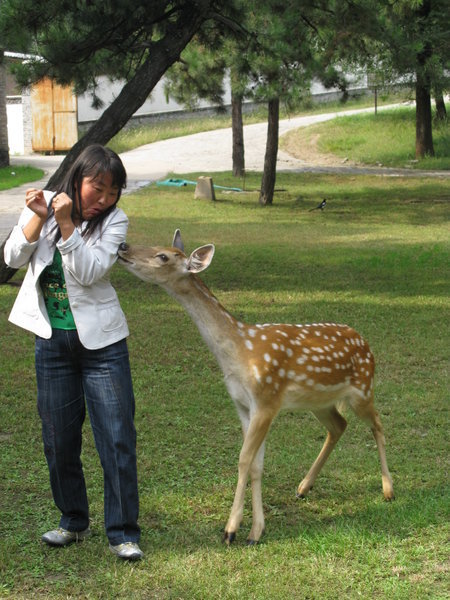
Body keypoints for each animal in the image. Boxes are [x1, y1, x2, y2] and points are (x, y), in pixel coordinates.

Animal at [118, 232, 394, 548]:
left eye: (163, 256)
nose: (123, 247)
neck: (238, 351)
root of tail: (366, 344)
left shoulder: (266, 399)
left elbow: (243, 460)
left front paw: (231, 530)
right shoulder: (243, 405)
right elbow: (256, 465)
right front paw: (255, 531)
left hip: (362, 389)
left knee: (377, 423)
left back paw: (388, 489)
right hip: (319, 401)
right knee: (339, 425)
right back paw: (303, 487)